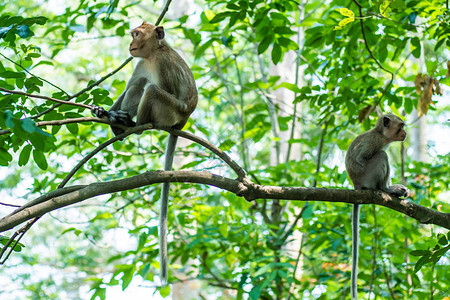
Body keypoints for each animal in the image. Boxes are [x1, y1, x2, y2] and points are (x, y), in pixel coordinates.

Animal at [91, 22, 197, 284]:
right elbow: (132, 83)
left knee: (152, 90)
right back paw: (118, 123)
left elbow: (163, 89)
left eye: (136, 34)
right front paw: (105, 111)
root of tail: (183, 121)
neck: (151, 56)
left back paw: (133, 125)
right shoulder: (139, 63)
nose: (130, 43)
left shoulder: (164, 65)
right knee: (139, 84)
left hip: (171, 113)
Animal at [344, 113, 412, 300]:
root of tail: (356, 185)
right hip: (367, 175)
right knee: (382, 156)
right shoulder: (373, 142)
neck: (381, 134)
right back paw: (385, 189)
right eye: (401, 126)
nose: (405, 133)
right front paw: (391, 188)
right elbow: (362, 158)